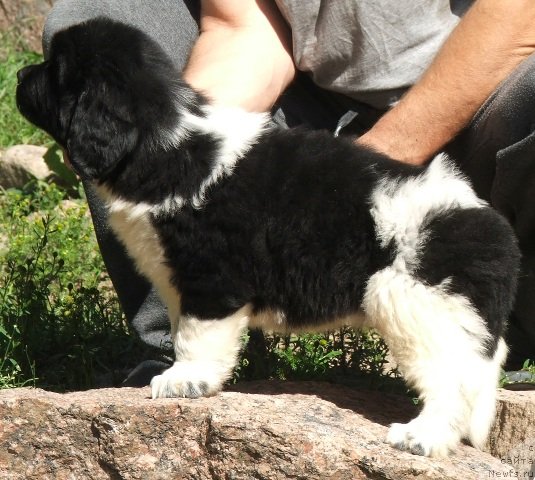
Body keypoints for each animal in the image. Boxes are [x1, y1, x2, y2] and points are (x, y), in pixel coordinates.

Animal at [16, 16, 520, 456]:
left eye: (55, 71)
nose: (19, 73)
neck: (166, 144)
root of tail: (489, 225)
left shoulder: (210, 276)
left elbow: (196, 335)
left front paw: (185, 380)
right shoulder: (179, 278)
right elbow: (183, 329)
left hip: (421, 307)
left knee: (451, 382)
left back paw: (422, 437)